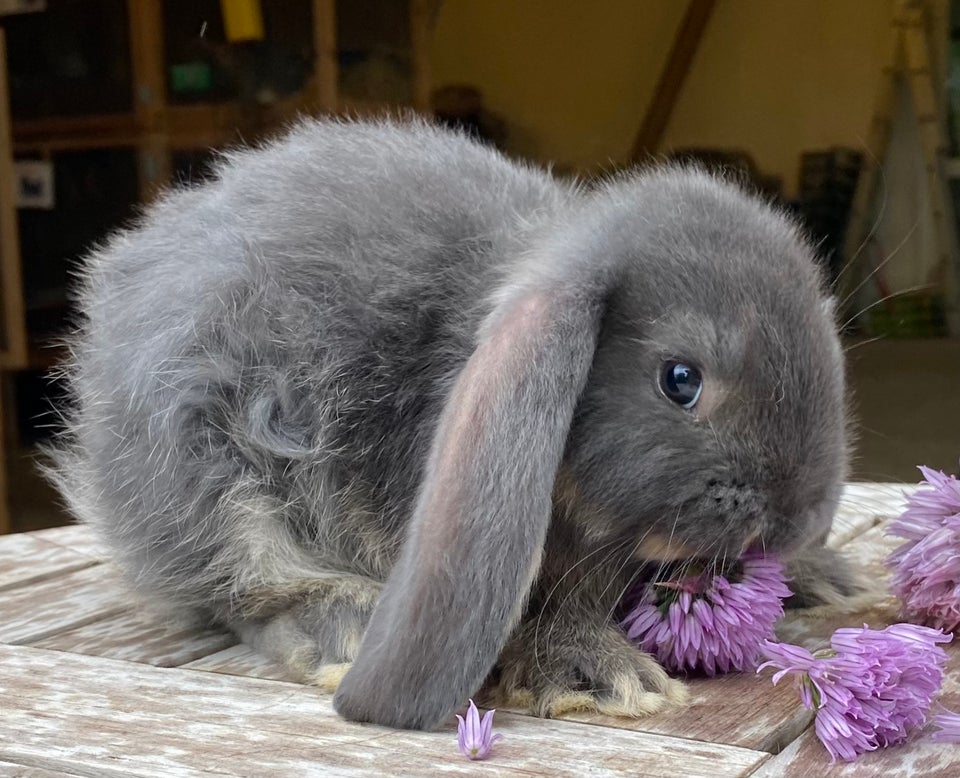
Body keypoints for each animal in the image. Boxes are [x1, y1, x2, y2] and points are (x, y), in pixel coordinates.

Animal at [45, 115, 860, 728]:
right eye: (681, 380)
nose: (797, 519)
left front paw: (818, 575)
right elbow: (538, 600)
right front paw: (595, 673)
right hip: (207, 467)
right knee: (242, 586)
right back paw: (344, 624)